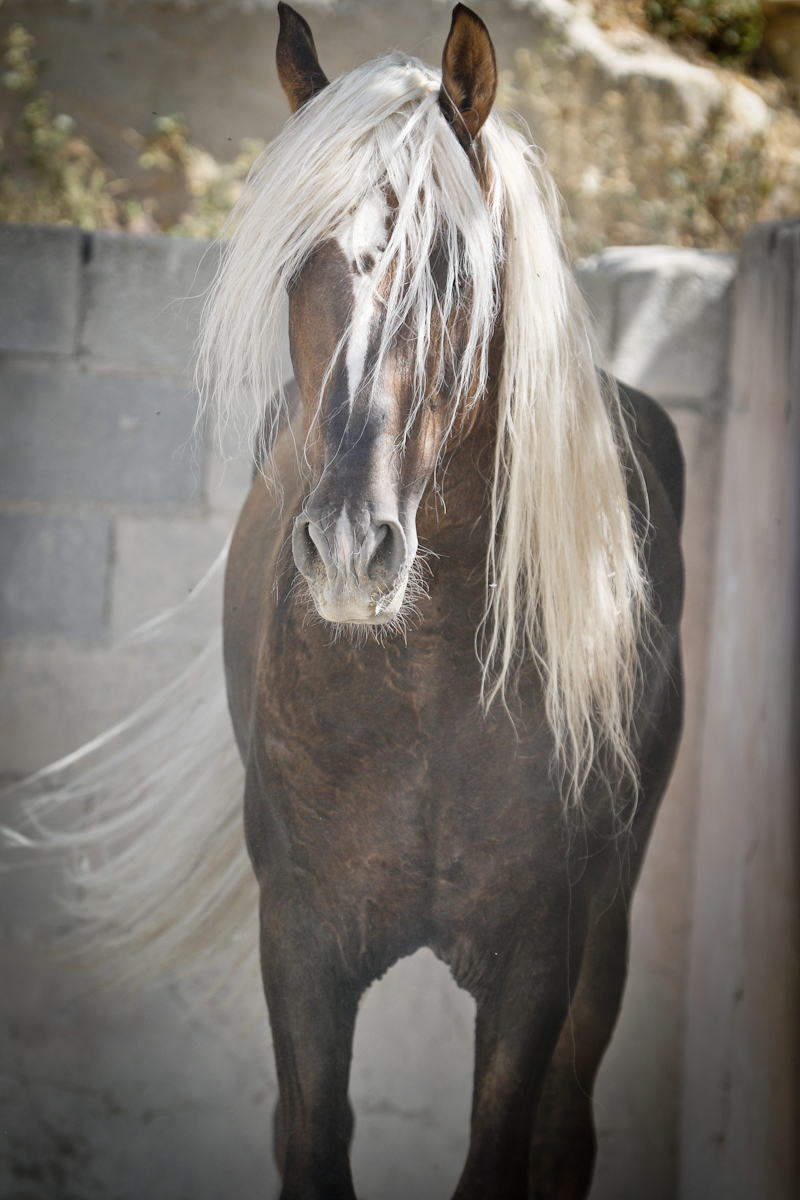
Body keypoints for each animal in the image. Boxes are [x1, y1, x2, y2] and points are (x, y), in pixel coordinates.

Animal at [6, 5, 683, 1197]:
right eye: (295, 266)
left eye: (452, 269)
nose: (346, 549)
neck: (425, 690)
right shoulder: (303, 948)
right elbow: (313, 1144)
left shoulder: (538, 964)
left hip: (606, 940)